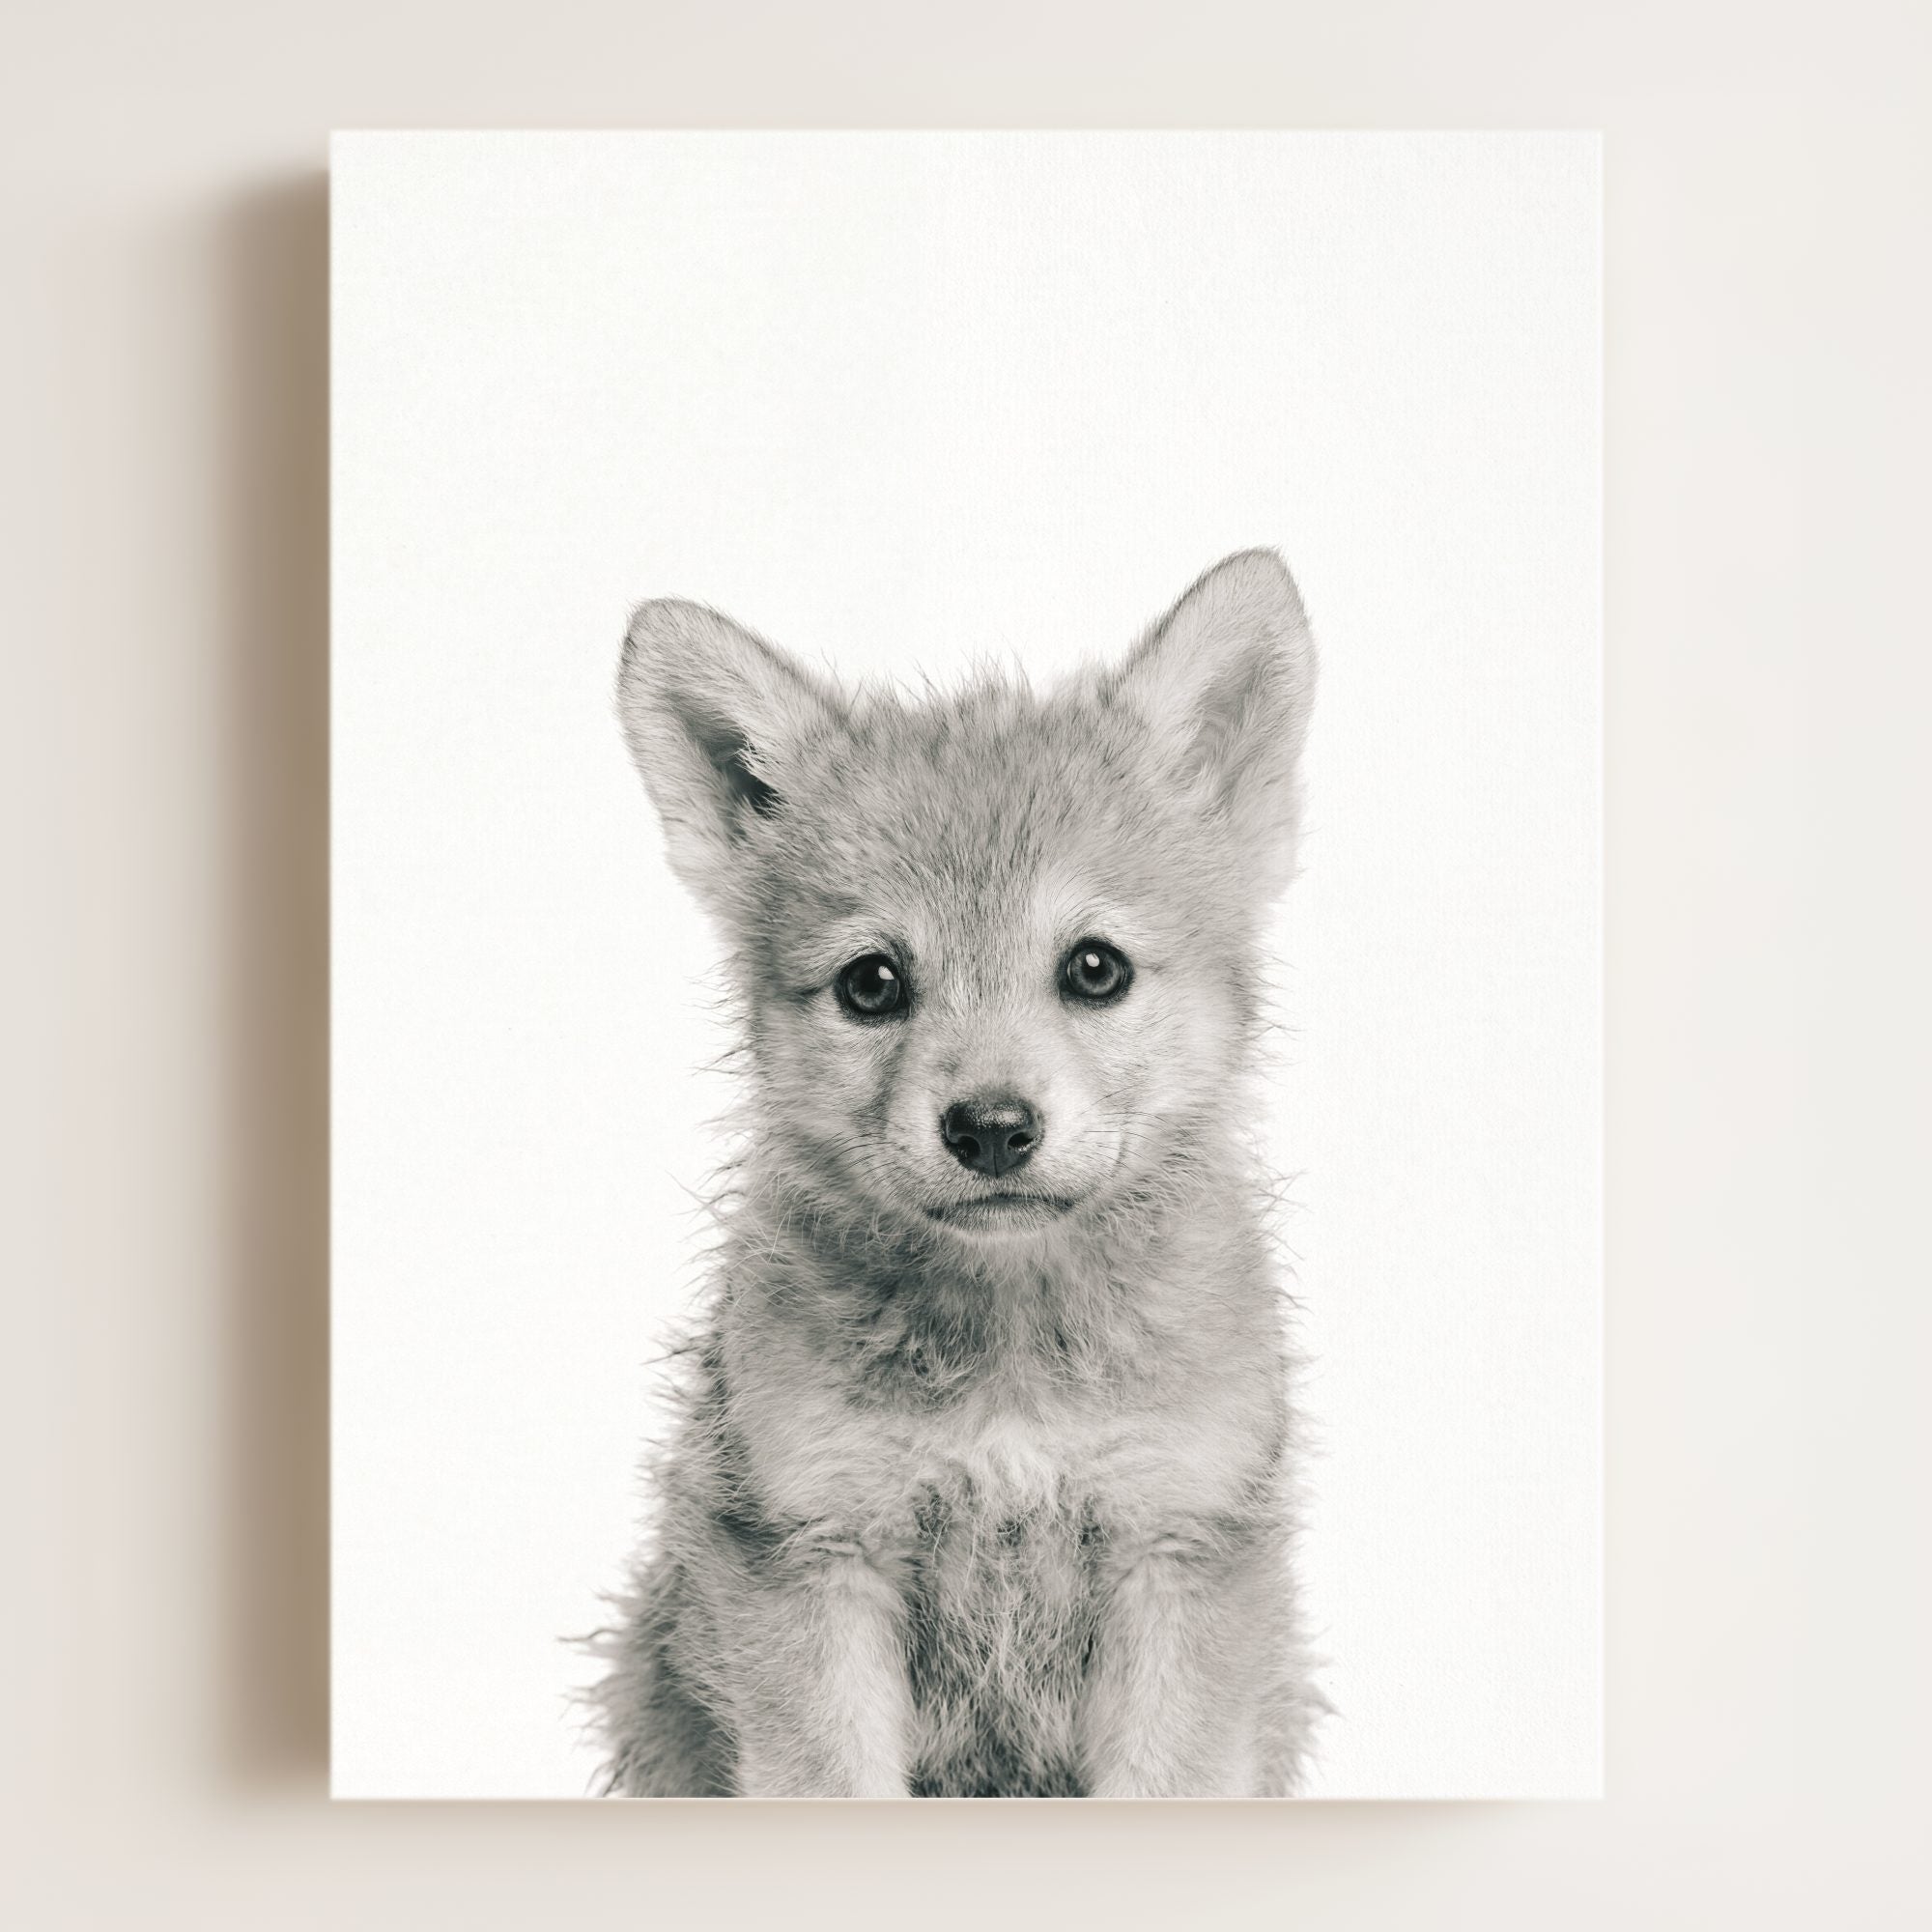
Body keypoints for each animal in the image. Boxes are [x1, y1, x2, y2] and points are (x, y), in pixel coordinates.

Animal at [590, 549, 1323, 1797]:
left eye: (1093, 968)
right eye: (871, 982)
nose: (988, 1127)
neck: (1011, 1363)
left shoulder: (1175, 1542)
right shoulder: (814, 1550)